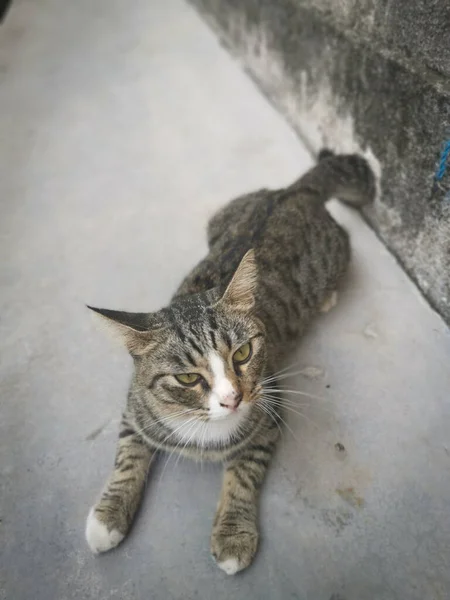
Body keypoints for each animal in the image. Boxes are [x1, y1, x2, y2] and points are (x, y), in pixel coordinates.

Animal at [84, 149, 376, 572]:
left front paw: (233, 534)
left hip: (336, 253)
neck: (202, 428)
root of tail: (293, 190)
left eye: (242, 354)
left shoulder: (269, 413)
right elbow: (127, 457)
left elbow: (244, 472)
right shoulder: (134, 409)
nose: (233, 398)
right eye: (187, 379)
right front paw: (107, 517)